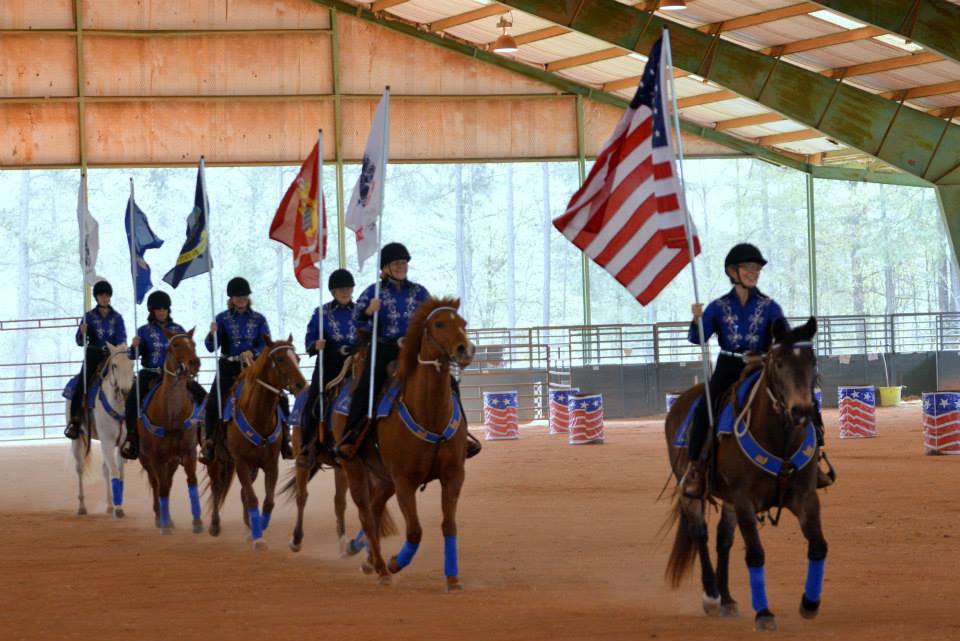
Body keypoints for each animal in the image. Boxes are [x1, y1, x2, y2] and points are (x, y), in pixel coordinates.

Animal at [67, 342, 134, 516]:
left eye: (132, 364)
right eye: (114, 365)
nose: (125, 392)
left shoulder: (121, 443)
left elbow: (119, 473)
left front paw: (118, 505)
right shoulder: (108, 442)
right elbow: (115, 471)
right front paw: (118, 510)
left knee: (105, 469)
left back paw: (109, 505)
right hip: (78, 439)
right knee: (79, 468)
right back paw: (82, 507)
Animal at [136, 328, 203, 532]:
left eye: (193, 344)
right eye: (175, 344)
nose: (194, 363)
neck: (172, 414)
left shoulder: (188, 453)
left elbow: (192, 482)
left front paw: (198, 522)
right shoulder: (156, 457)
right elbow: (162, 487)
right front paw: (164, 525)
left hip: (172, 460)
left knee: (168, 481)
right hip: (146, 458)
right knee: (156, 483)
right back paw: (161, 518)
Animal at [206, 336, 304, 552]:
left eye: (298, 358)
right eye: (281, 359)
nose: (301, 385)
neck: (258, 414)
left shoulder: (270, 464)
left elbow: (267, 501)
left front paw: (258, 529)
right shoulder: (241, 462)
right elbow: (252, 498)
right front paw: (258, 539)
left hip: (251, 467)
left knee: (242, 492)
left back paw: (248, 527)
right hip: (216, 461)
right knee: (217, 488)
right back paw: (214, 526)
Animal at [342, 298, 476, 588]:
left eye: (463, 323)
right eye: (439, 324)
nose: (466, 349)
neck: (430, 414)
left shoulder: (453, 476)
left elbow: (449, 525)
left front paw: (452, 578)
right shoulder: (405, 481)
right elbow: (414, 531)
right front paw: (395, 563)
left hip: (384, 479)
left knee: (375, 509)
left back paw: (371, 560)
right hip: (355, 469)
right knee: (366, 515)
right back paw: (382, 569)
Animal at [660, 318, 824, 628]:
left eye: (812, 360)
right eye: (779, 363)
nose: (801, 411)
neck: (779, 438)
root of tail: (681, 401)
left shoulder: (805, 497)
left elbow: (818, 545)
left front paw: (810, 603)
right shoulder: (745, 499)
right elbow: (755, 554)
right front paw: (764, 613)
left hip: (728, 500)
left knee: (723, 540)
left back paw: (727, 599)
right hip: (690, 488)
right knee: (700, 533)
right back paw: (712, 596)